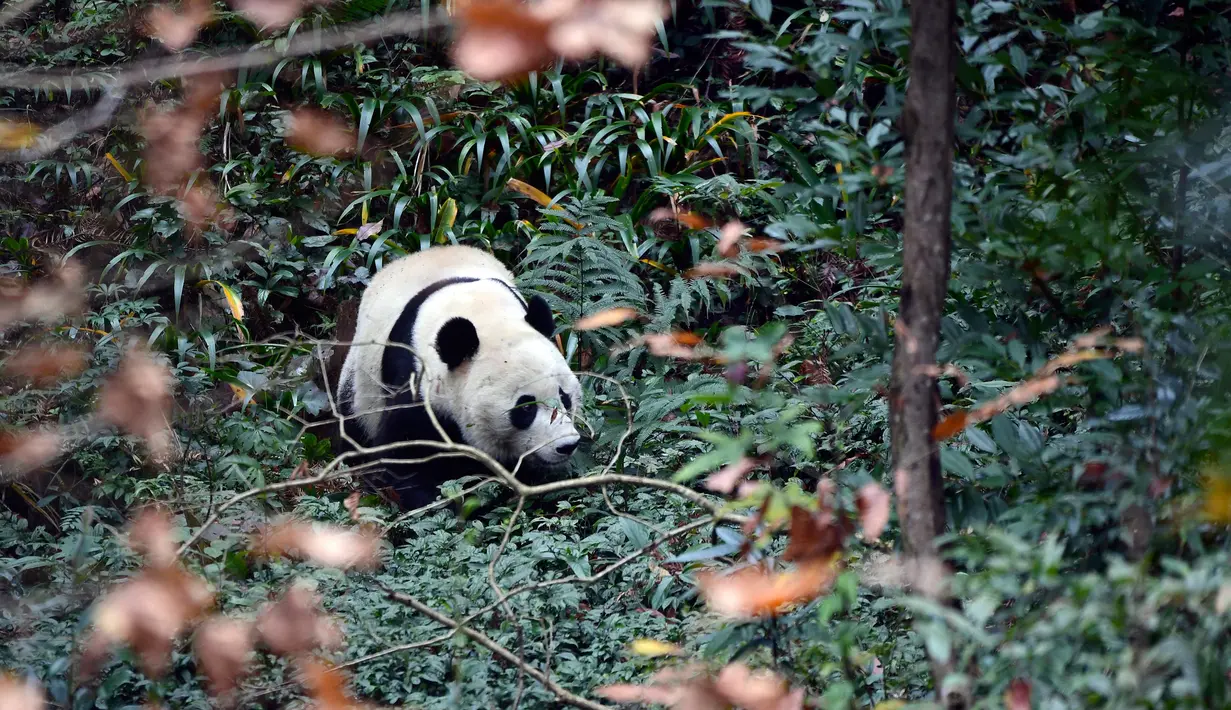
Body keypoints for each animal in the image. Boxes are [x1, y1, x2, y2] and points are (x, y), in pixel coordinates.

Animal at [336, 245, 583, 510]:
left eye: (565, 397)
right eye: (526, 407)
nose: (566, 445)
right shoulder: (413, 378)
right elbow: (408, 454)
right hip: (361, 383)